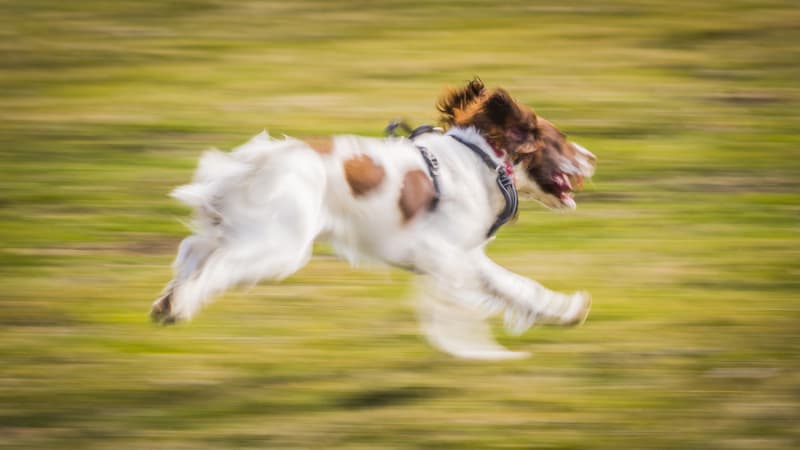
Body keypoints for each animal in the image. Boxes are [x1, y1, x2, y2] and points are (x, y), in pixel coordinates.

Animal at [153, 78, 596, 358]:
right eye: (560, 140)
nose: (593, 157)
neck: (483, 161)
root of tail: (251, 162)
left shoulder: (462, 255)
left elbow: (515, 286)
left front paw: (564, 310)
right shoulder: (440, 251)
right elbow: (463, 304)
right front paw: (476, 350)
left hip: (242, 229)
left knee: (193, 251)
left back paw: (168, 301)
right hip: (281, 246)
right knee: (217, 265)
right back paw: (179, 304)